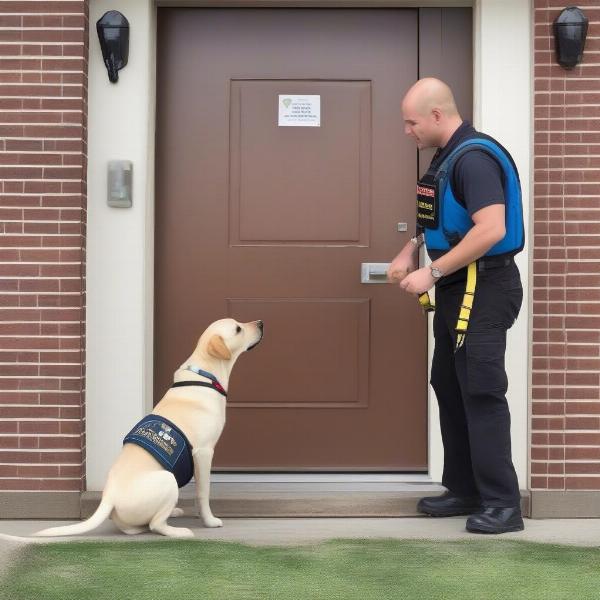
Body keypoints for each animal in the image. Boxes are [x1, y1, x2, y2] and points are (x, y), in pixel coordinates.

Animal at [32, 318, 262, 540]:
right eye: (238, 329)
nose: (261, 323)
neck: (205, 375)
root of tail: (108, 497)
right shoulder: (204, 453)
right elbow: (203, 493)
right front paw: (210, 521)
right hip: (168, 479)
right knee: (156, 525)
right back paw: (179, 531)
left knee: (136, 527)